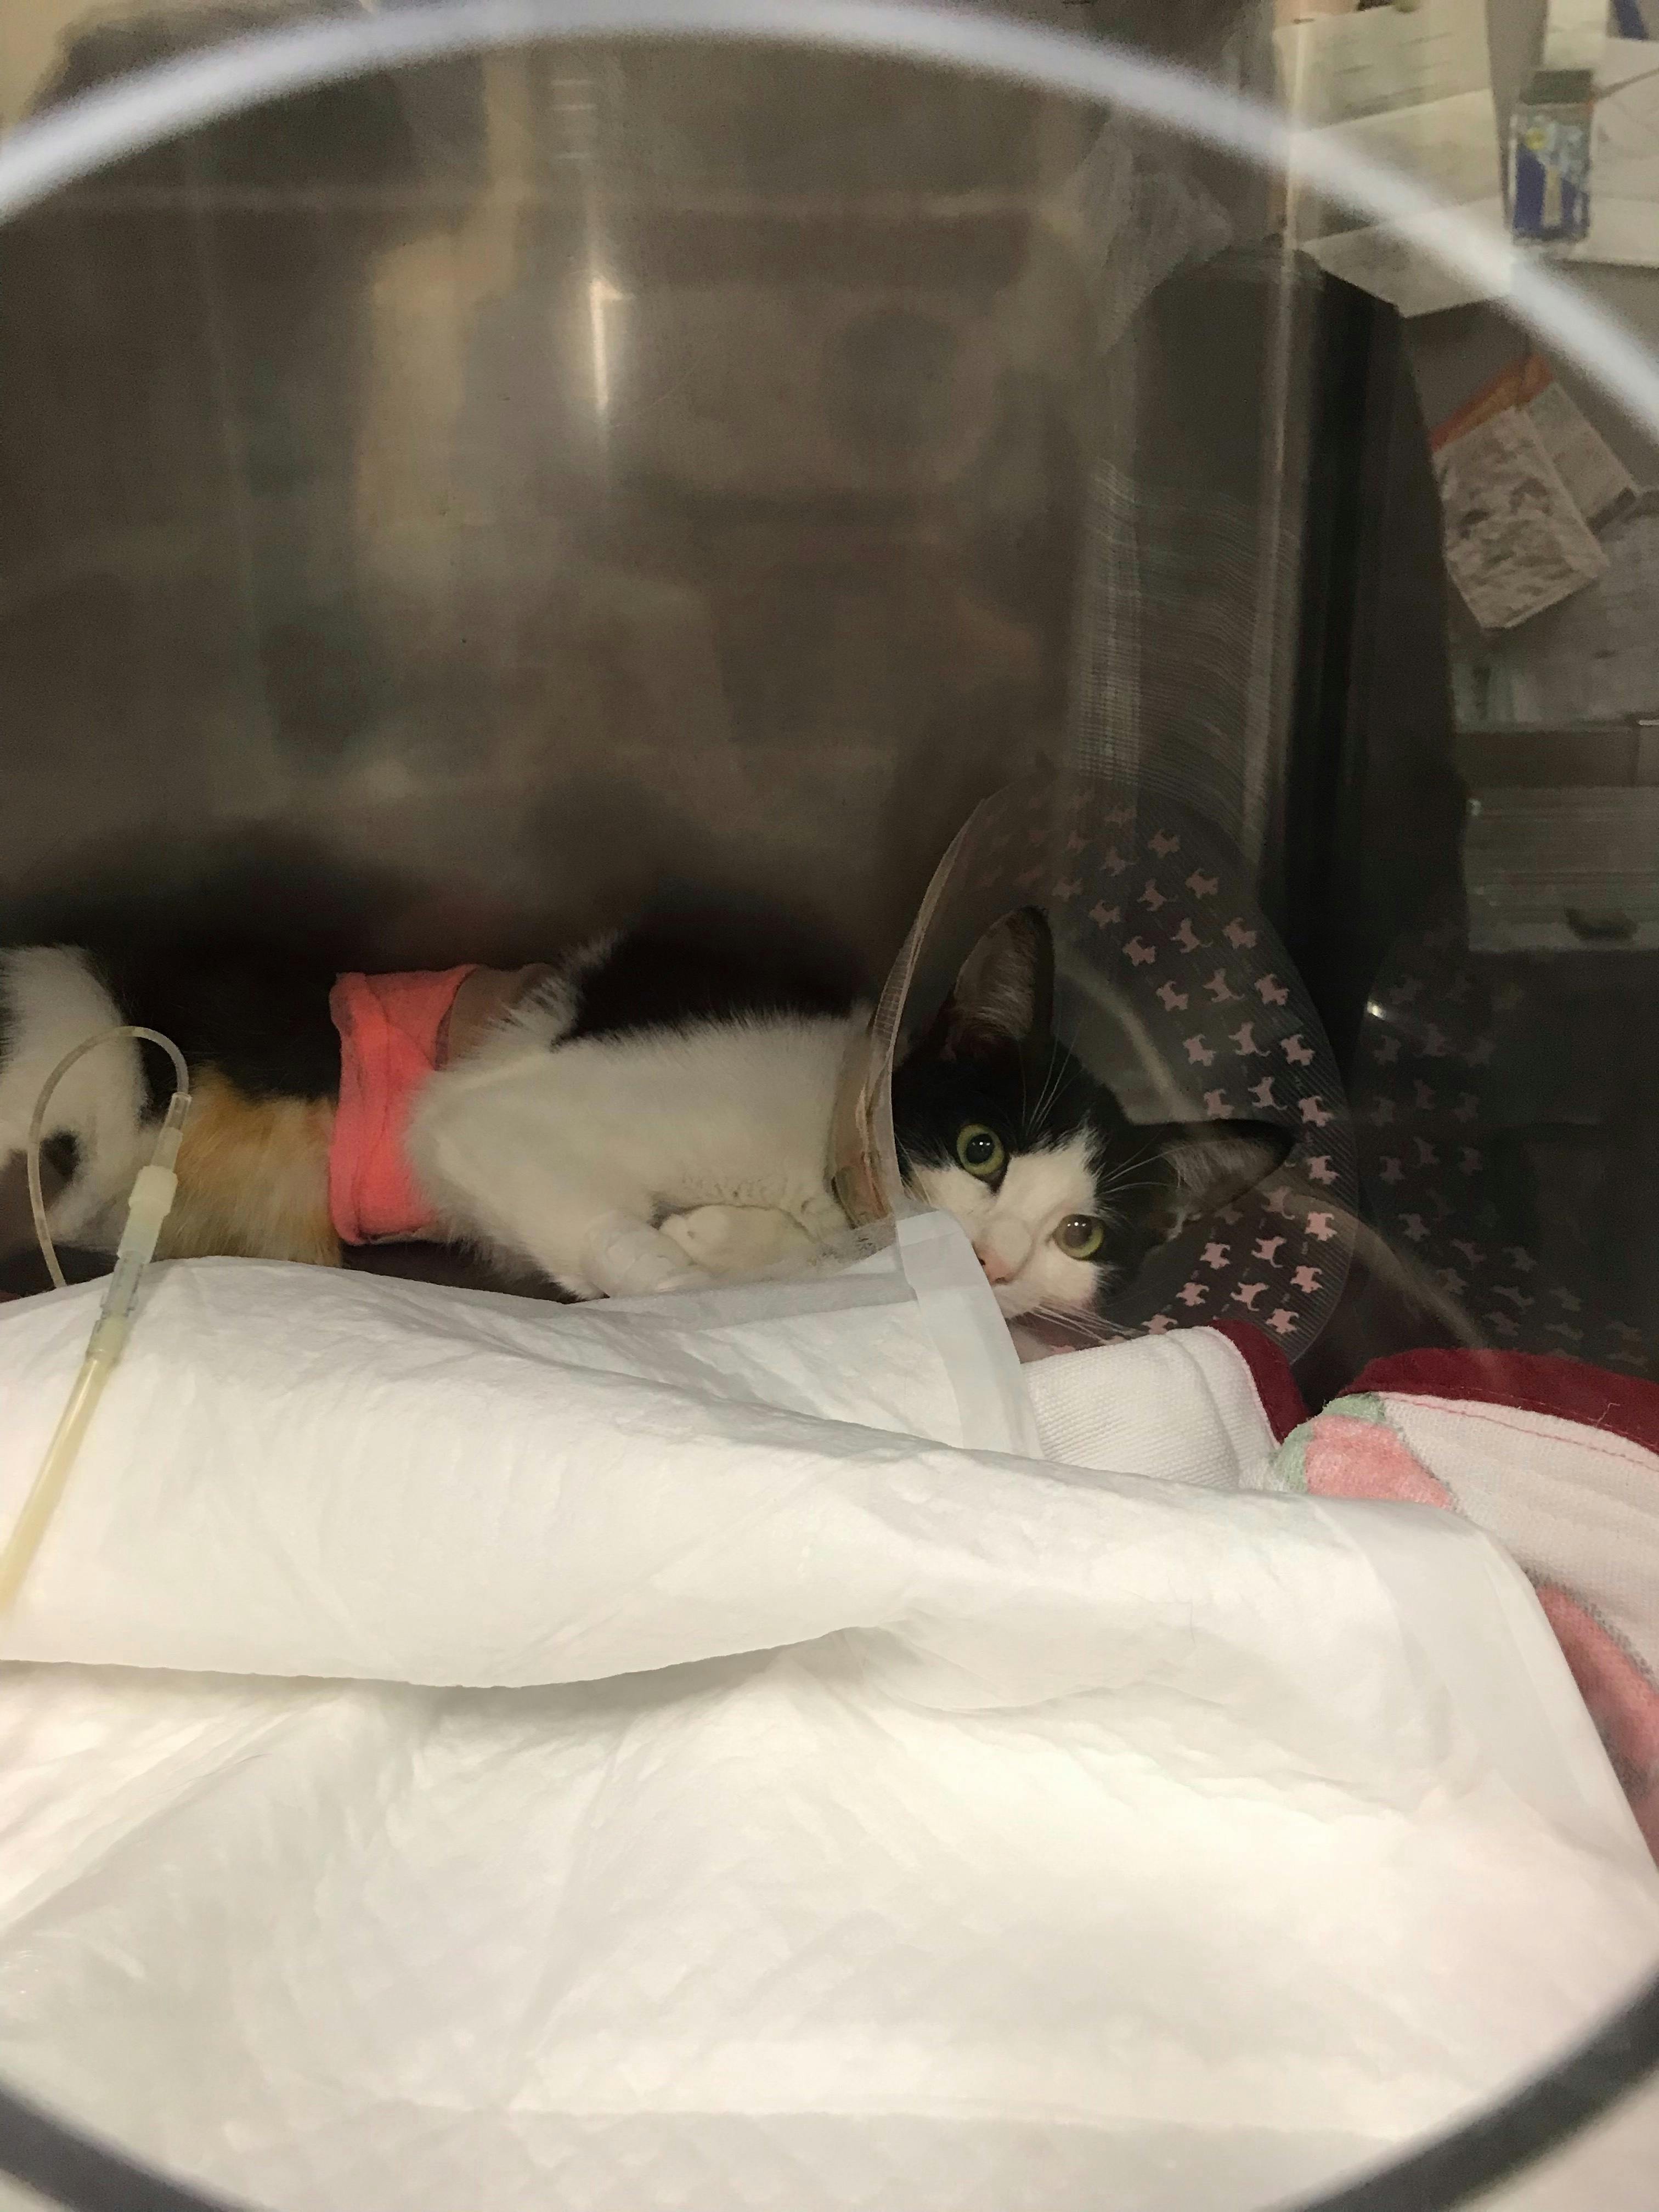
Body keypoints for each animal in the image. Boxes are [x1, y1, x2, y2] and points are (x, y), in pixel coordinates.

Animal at [0, 907, 1289, 1322]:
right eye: (981, 1150)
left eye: (1082, 1234)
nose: (997, 1256)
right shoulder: (474, 1123)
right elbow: (619, 1248)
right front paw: (682, 1273)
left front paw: (722, 1241)